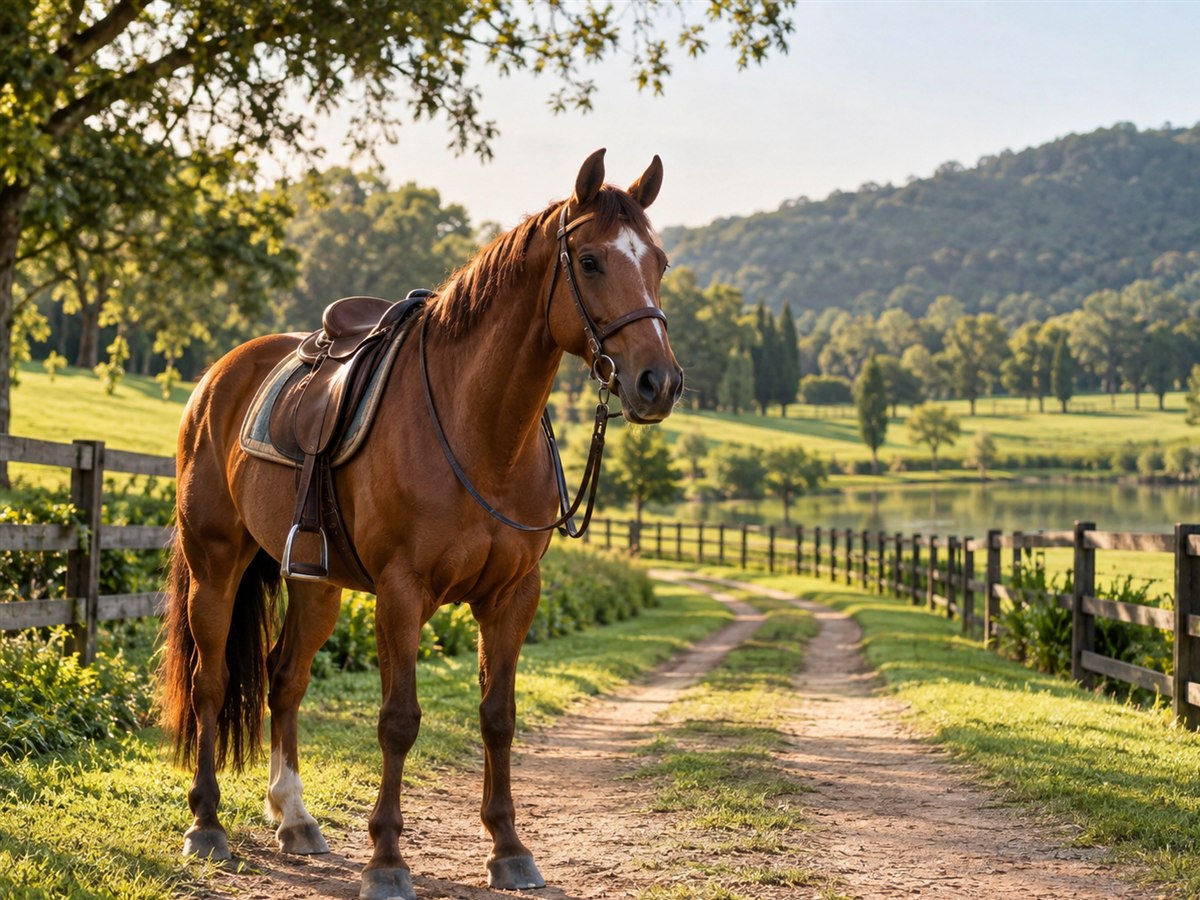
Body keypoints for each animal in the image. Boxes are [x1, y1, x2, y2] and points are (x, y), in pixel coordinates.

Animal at [157, 149, 683, 900]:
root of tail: (218, 377)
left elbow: (498, 717)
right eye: (589, 261)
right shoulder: (403, 594)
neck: (478, 430)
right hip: (215, 563)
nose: (657, 383)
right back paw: (206, 825)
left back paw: (294, 817)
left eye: (659, 262)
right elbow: (399, 721)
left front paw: (509, 848)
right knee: (210, 682)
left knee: (285, 677)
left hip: (315, 583)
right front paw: (386, 860)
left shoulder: (513, 597)